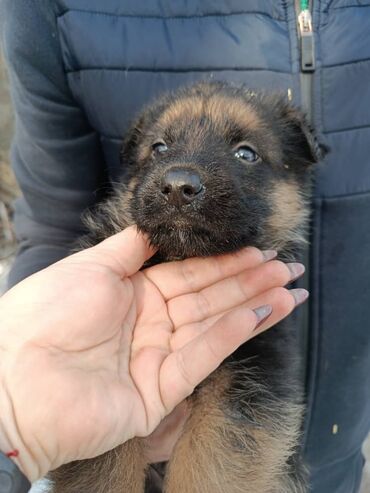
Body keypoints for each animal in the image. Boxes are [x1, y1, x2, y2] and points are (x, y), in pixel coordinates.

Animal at [49, 81, 324, 492]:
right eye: (159, 147)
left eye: (246, 153)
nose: (179, 187)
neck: (182, 256)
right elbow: (106, 467)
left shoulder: (249, 378)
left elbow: (210, 465)